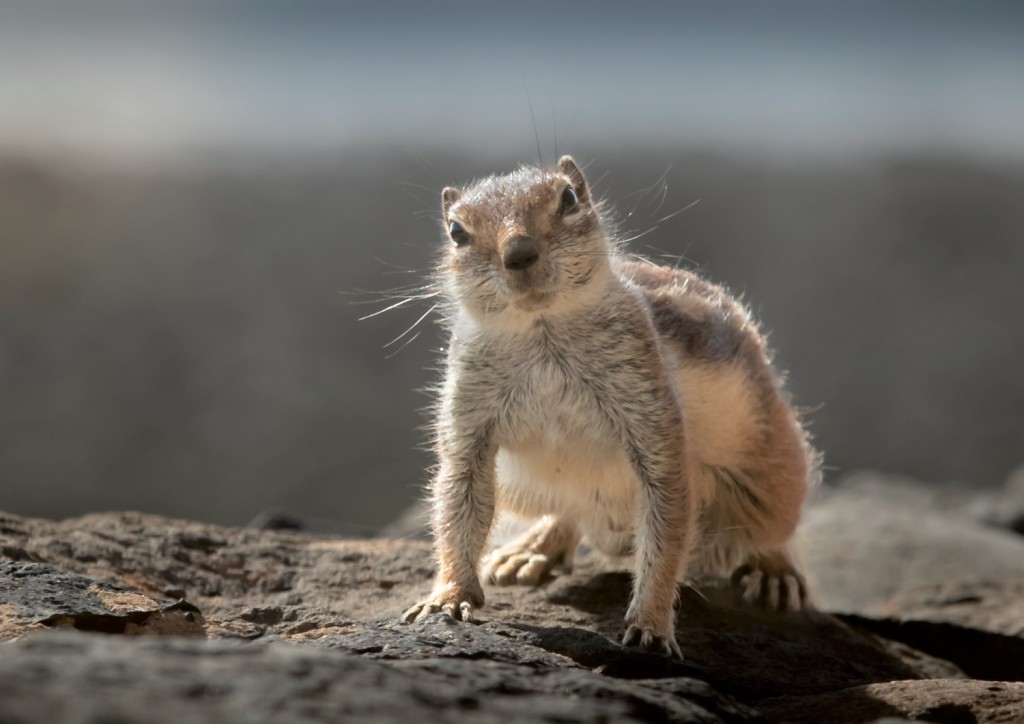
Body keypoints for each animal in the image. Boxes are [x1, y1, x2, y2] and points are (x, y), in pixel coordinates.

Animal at [403, 155, 819, 659]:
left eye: (568, 199)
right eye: (456, 231)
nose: (518, 254)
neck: (543, 331)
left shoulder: (652, 411)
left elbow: (666, 523)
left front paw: (651, 624)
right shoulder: (468, 421)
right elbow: (456, 508)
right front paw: (447, 596)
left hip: (769, 470)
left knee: (772, 527)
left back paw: (774, 570)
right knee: (568, 513)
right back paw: (533, 549)